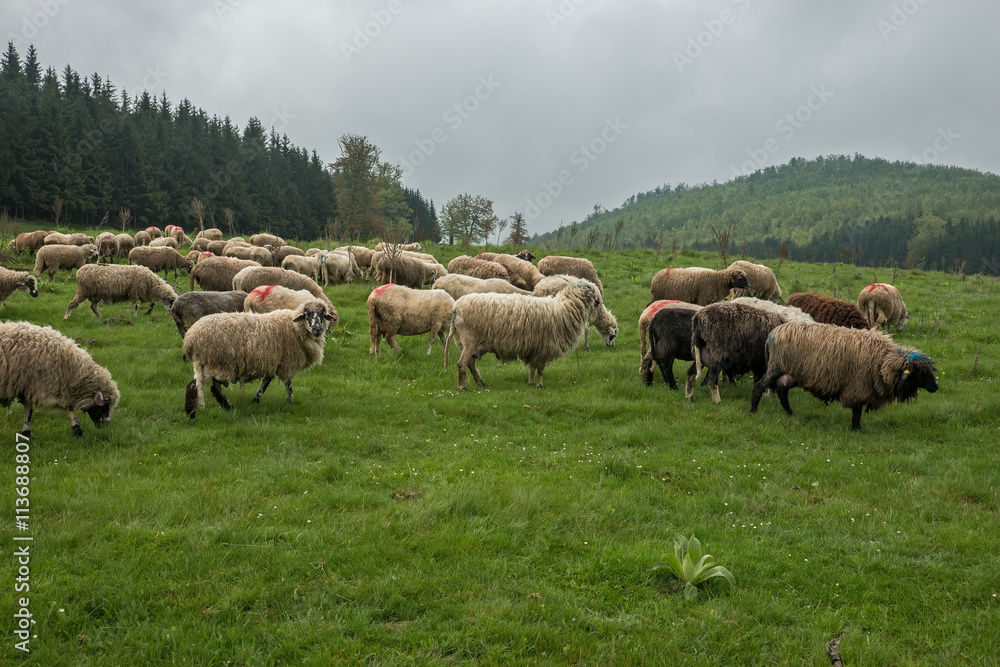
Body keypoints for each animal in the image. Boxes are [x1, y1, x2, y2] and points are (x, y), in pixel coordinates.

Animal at [181, 298, 336, 418]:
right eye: (307, 314)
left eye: (322, 315)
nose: (317, 329)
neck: (294, 327)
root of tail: (191, 338)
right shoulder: (287, 364)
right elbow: (288, 385)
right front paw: (290, 402)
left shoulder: (272, 363)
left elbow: (264, 384)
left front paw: (255, 400)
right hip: (220, 363)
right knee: (208, 386)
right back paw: (220, 407)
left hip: (210, 363)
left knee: (199, 385)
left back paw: (195, 411)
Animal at [448, 278, 600, 392]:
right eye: (592, 290)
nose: (598, 302)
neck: (565, 307)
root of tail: (456, 308)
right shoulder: (544, 347)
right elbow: (540, 370)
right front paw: (539, 385)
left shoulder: (534, 348)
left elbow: (532, 368)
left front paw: (530, 383)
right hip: (469, 340)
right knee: (462, 363)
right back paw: (462, 387)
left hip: (465, 343)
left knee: (470, 364)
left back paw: (480, 382)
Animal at [752, 322, 936, 434]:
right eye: (922, 373)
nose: (936, 387)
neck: (882, 361)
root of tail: (774, 332)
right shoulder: (859, 387)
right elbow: (857, 411)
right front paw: (857, 429)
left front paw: (857, 428)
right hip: (776, 367)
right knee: (759, 387)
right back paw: (753, 411)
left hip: (791, 373)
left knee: (782, 392)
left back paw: (790, 414)